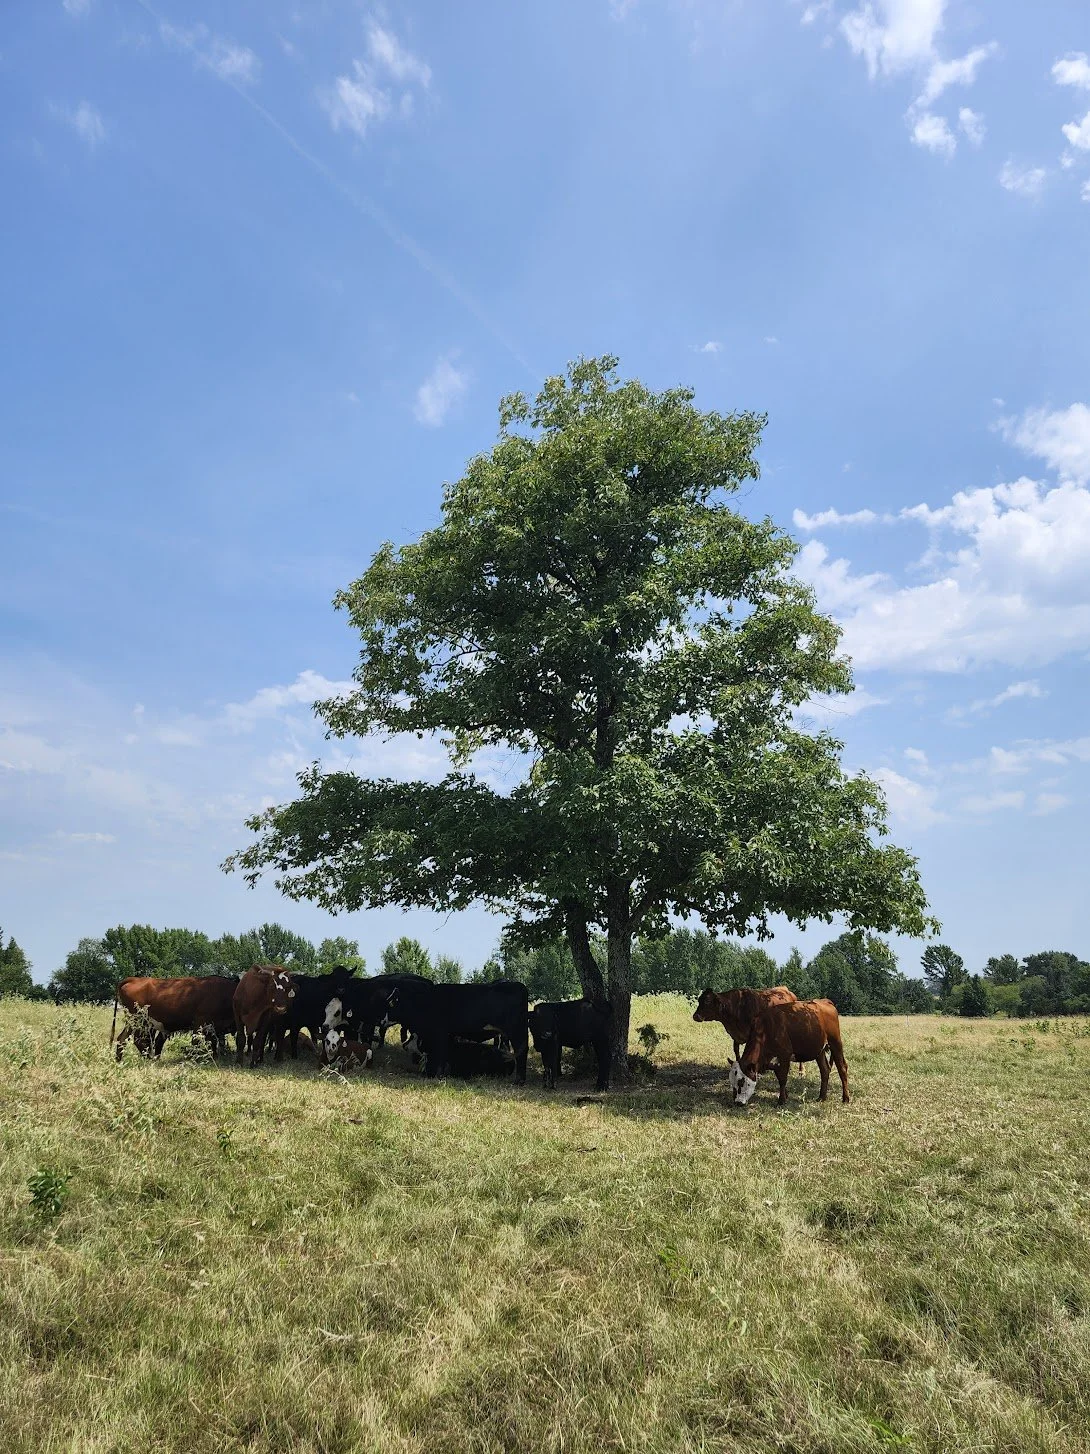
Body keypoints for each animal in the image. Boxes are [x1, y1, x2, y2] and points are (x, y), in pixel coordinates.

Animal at [387, 979, 529, 1084]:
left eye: (391, 1002)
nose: (384, 1019)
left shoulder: (440, 1034)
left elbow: (441, 1054)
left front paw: (438, 1075)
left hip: (516, 1032)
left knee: (521, 1052)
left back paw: (519, 1081)